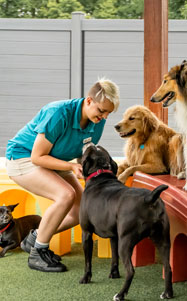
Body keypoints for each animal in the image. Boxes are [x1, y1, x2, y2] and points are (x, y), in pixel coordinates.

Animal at [79, 144, 174, 298]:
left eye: (89, 151)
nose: (89, 143)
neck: (100, 172)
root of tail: (149, 198)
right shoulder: (114, 236)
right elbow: (114, 258)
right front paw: (114, 274)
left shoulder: (86, 233)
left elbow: (88, 262)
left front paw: (86, 278)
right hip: (163, 241)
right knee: (168, 267)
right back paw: (167, 293)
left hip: (125, 243)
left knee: (130, 270)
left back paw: (120, 294)